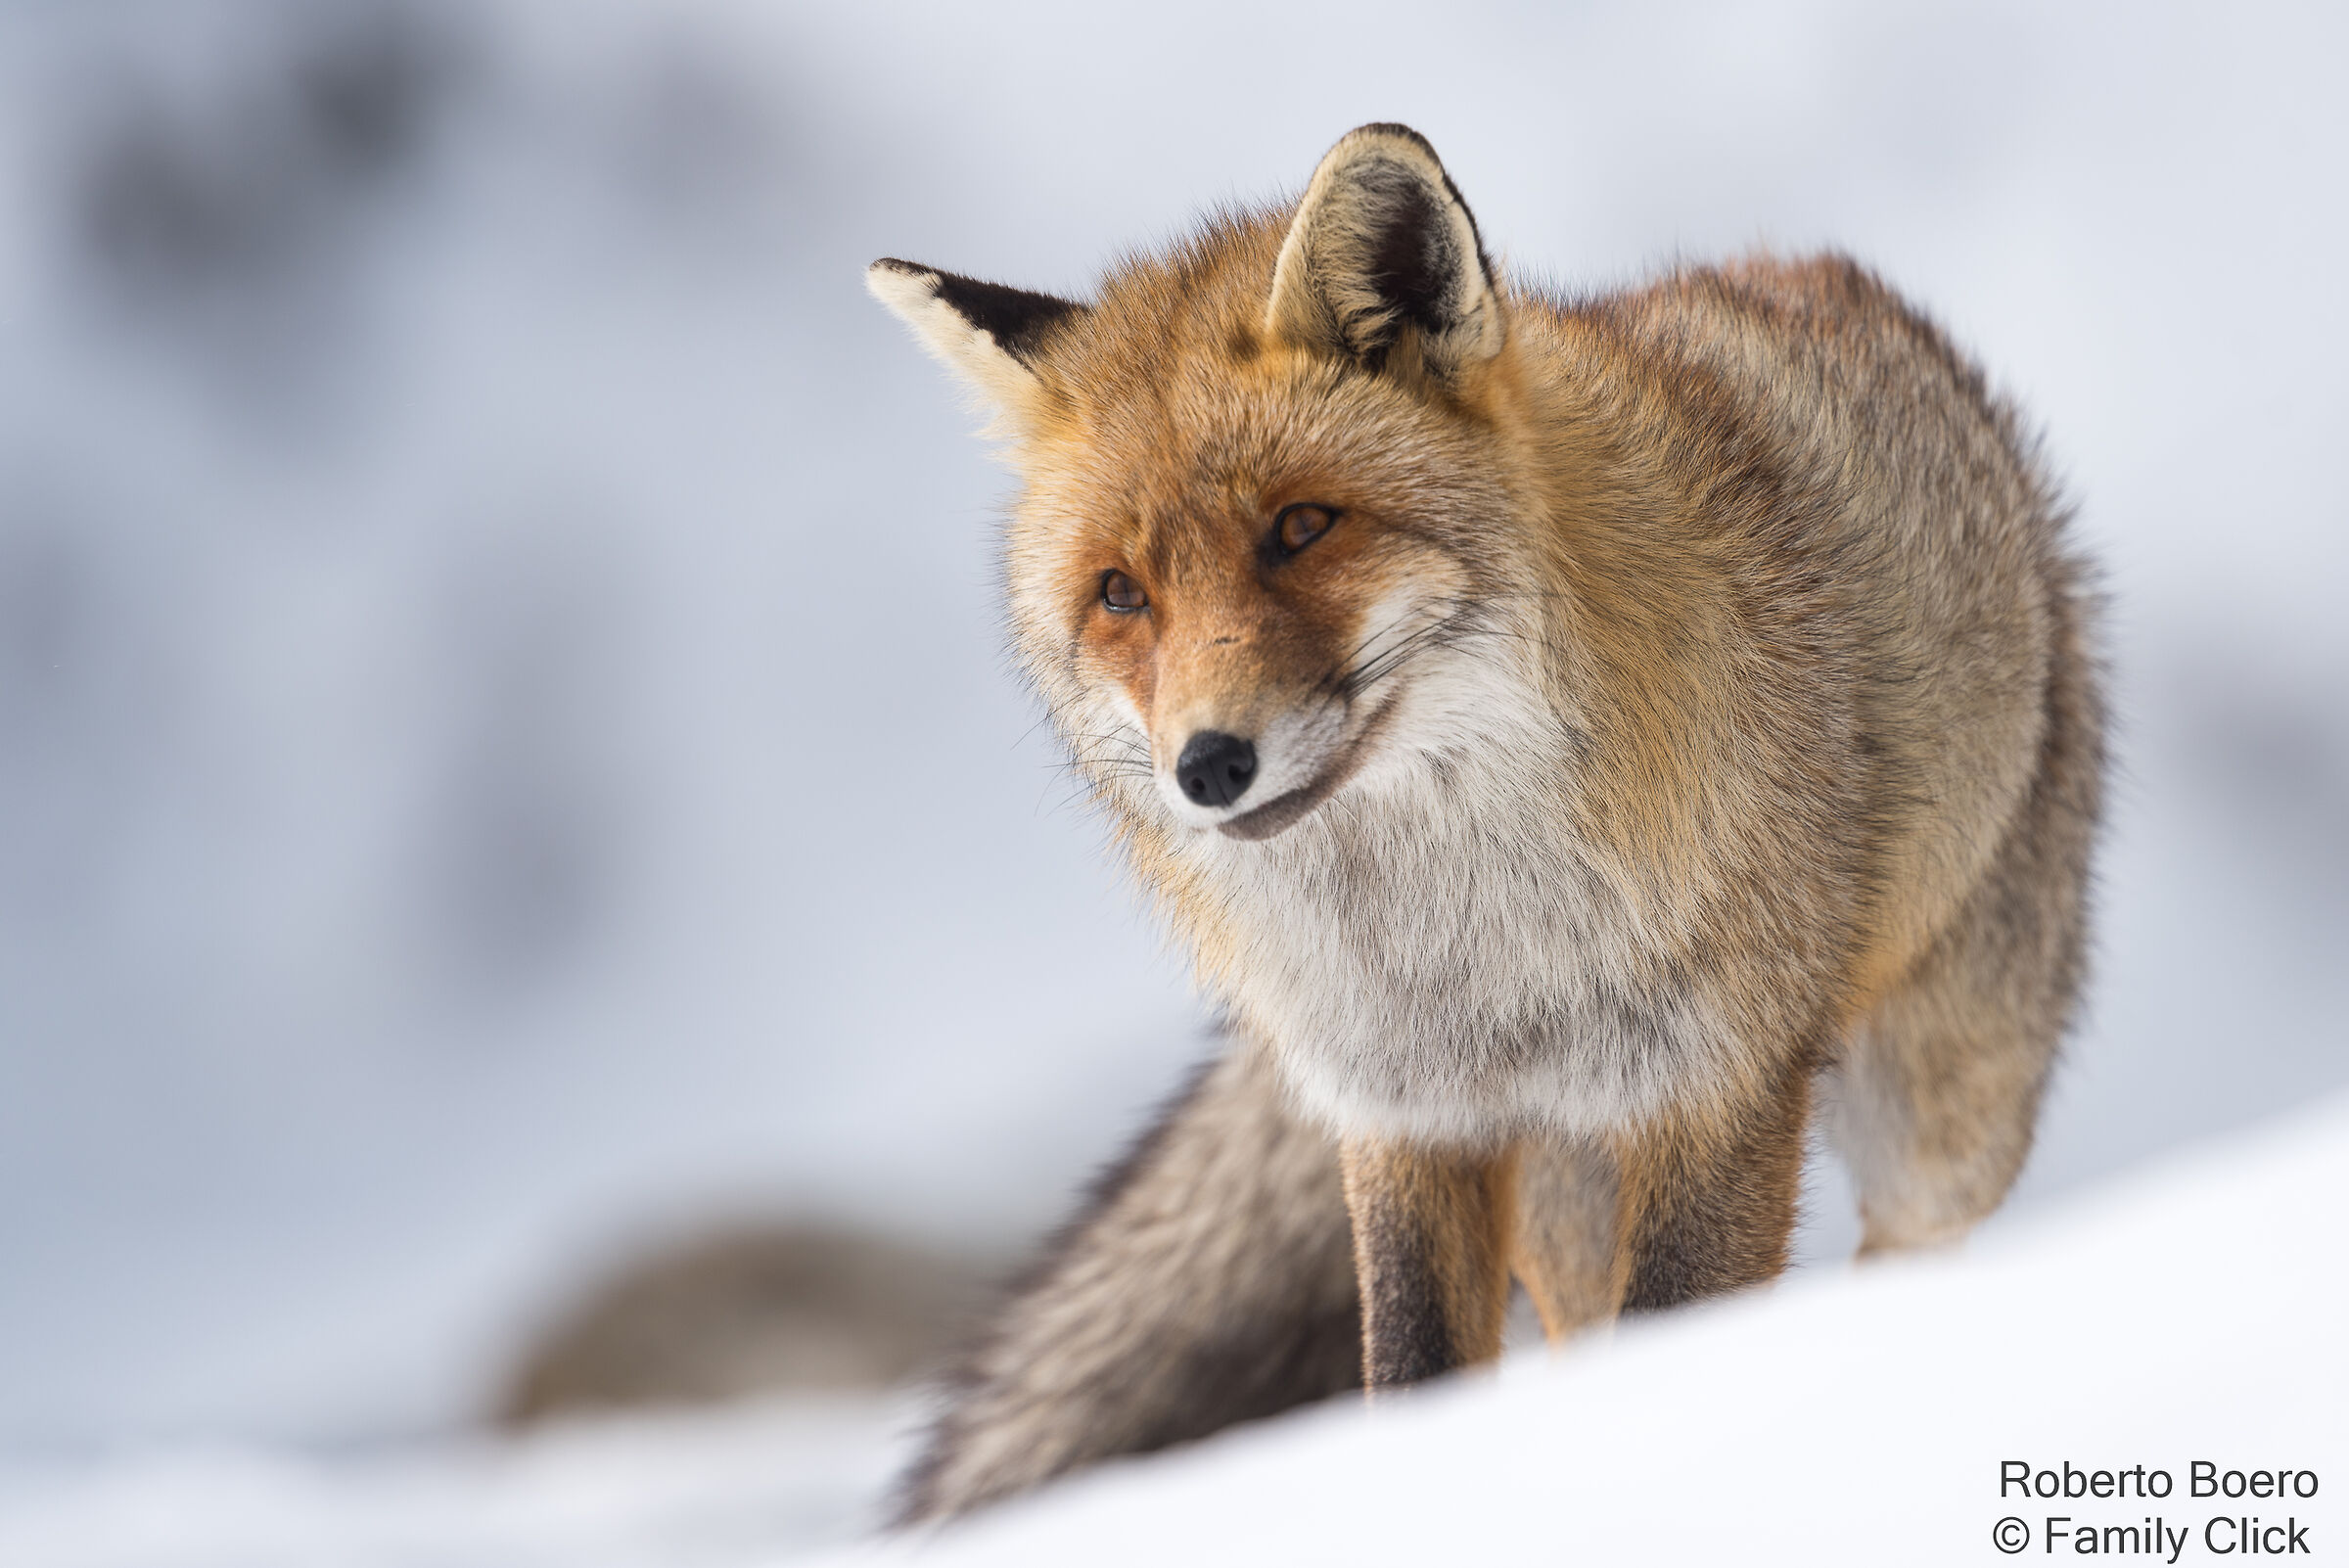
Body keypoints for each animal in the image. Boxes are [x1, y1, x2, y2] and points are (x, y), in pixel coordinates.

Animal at [866, 123, 2103, 1522]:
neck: (1469, 951)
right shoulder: (1407, 1121)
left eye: (1302, 526)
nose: (1209, 766)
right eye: (1121, 594)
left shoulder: (1719, 1088)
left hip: (1942, 1118)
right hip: (1568, 1192)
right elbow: (1413, 1373)